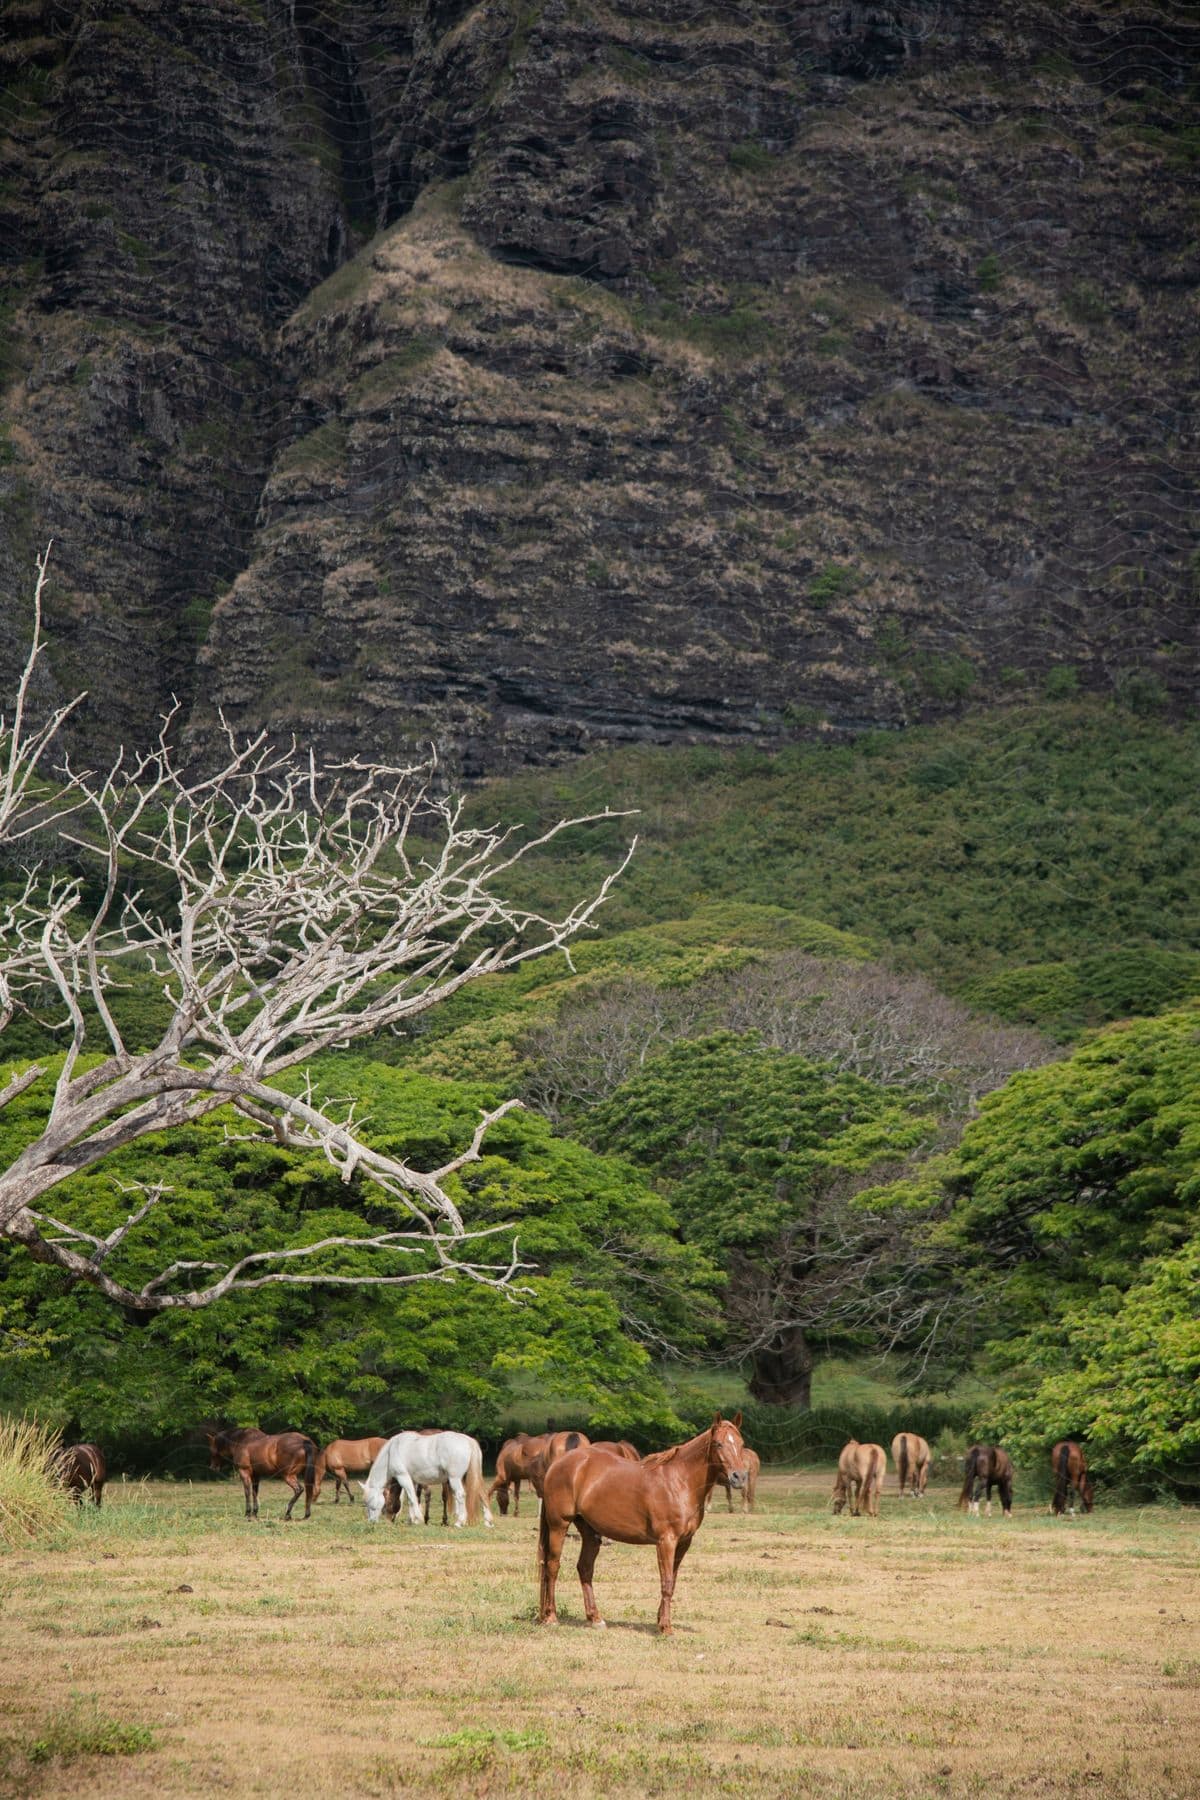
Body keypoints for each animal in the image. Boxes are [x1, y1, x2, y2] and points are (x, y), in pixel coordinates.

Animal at [356, 1425, 492, 1526]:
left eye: (369, 1501)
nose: (371, 1521)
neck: (391, 1451)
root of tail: (468, 1441)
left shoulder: (403, 1477)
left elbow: (411, 1497)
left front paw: (417, 1519)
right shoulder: (413, 1480)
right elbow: (413, 1498)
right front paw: (412, 1519)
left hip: (455, 1479)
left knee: (460, 1495)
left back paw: (459, 1522)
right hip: (469, 1477)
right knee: (482, 1494)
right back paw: (488, 1521)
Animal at [536, 1411, 744, 1641]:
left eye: (741, 1444)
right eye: (718, 1444)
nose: (739, 1477)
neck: (679, 1482)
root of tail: (558, 1464)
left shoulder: (683, 1543)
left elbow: (672, 1581)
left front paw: (660, 1621)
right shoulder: (666, 1542)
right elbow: (666, 1583)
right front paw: (666, 1628)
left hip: (590, 1532)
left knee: (584, 1568)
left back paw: (595, 1619)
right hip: (559, 1526)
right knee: (552, 1566)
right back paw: (551, 1617)